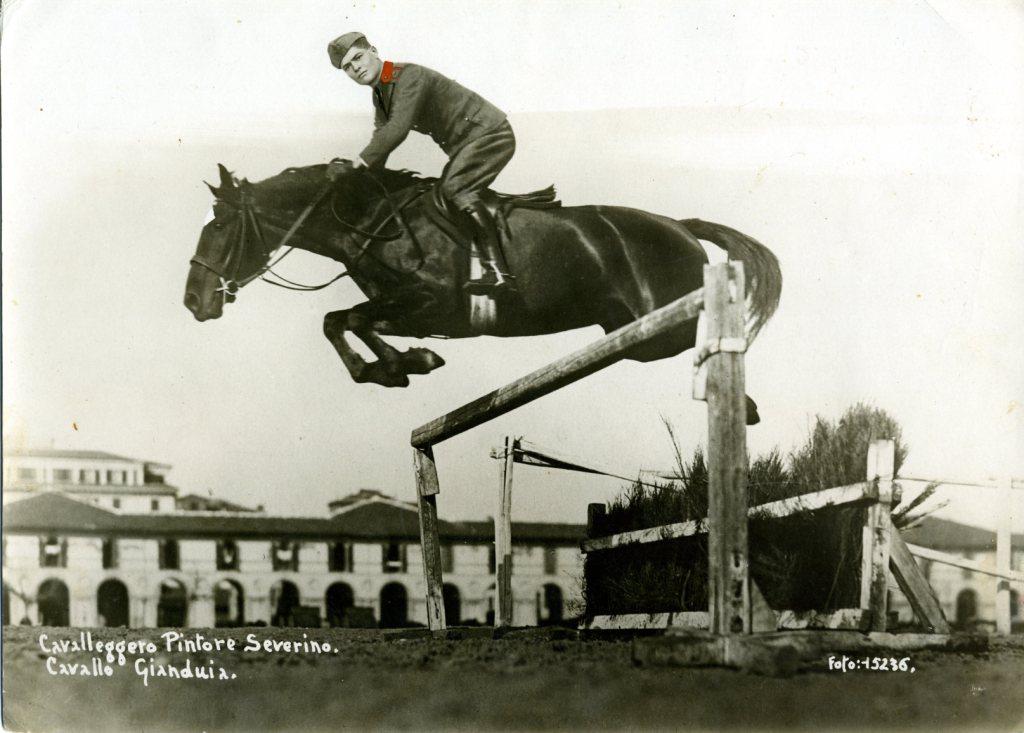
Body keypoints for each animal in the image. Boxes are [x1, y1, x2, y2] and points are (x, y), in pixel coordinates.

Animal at [185, 163, 781, 422]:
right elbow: (343, 321)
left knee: (709, 337)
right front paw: (399, 366)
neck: (372, 220)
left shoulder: (431, 304)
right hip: (631, 336)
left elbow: (347, 319)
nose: (194, 300)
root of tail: (681, 225)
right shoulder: (411, 311)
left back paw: (740, 401)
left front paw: (405, 364)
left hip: (658, 328)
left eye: (219, 224)